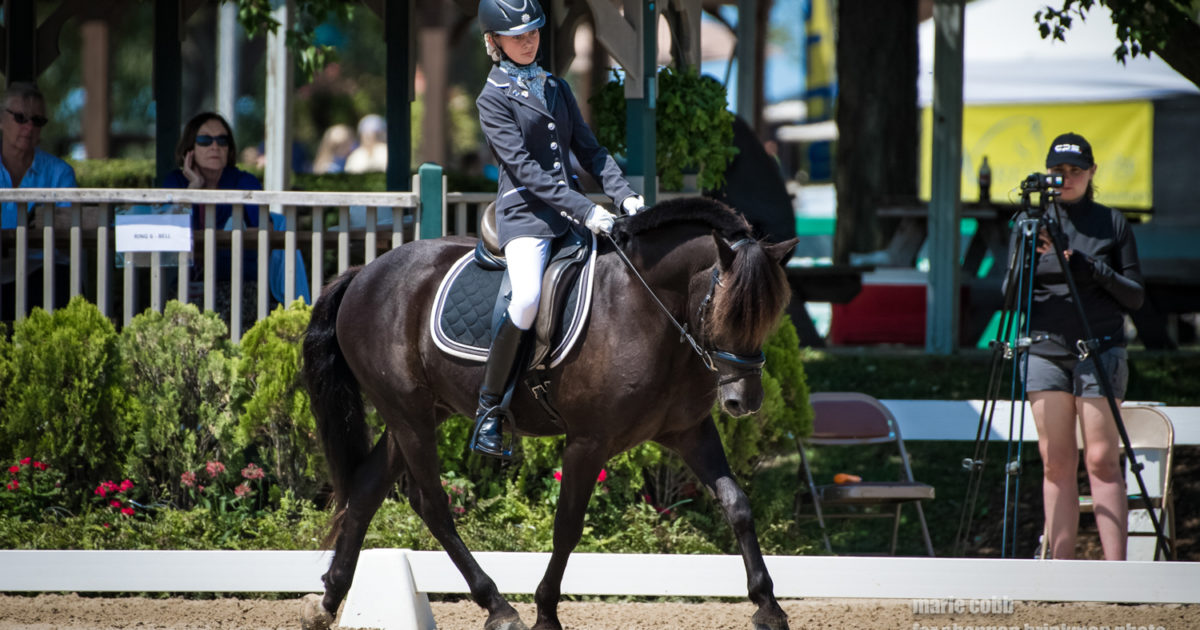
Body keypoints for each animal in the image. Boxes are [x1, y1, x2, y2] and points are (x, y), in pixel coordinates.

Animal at [302, 198, 796, 628]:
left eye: (770, 314)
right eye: (729, 310)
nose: (744, 402)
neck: (650, 308)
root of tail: (366, 272)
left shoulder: (690, 431)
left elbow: (737, 505)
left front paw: (768, 606)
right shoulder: (587, 442)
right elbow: (568, 526)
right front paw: (545, 612)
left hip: (417, 413)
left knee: (366, 490)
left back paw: (326, 601)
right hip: (409, 416)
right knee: (433, 505)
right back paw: (499, 607)